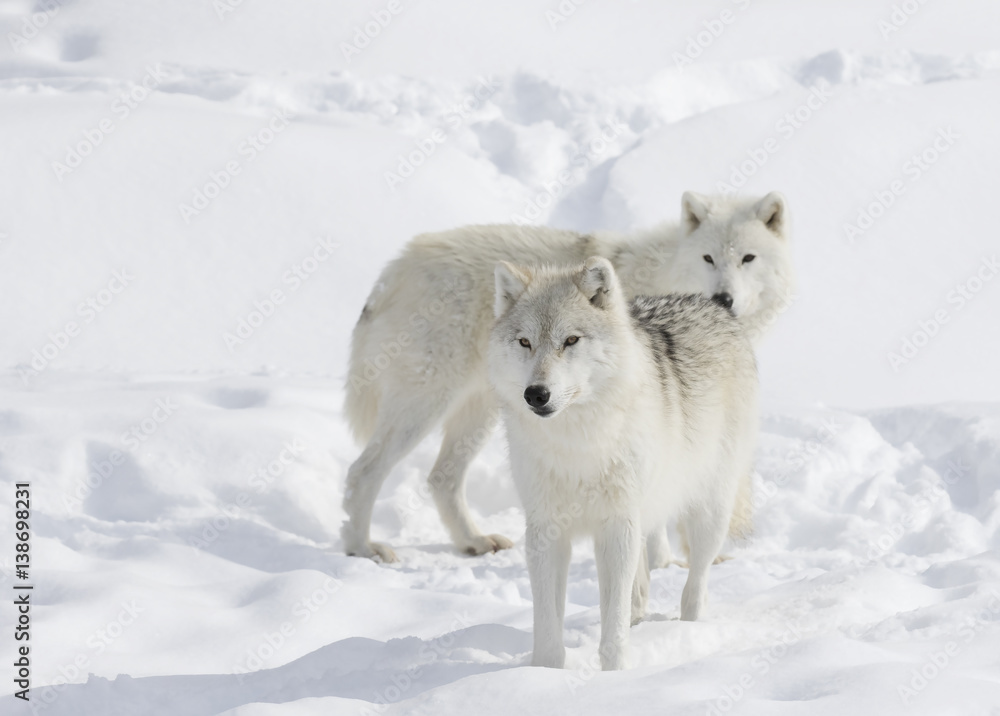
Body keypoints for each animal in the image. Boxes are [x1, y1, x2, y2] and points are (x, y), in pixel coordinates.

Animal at [342, 192, 789, 562]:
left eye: (748, 258)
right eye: (708, 258)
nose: (724, 298)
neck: (667, 272)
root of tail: (395, 266)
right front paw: (662, 564)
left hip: (482, 411)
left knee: (442, 477)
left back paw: (474, 541)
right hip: (425, 405)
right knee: (364, 471)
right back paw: (362, 549)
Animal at [487, 257, 758, 670]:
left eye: (570, 340)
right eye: (524, 342)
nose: (536, 394)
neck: (576, 447)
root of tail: (710, 304)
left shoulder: (617, 524)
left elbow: (612, 619)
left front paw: (614, 672)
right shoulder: (545, 530)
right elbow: (547, 623)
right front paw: (545, 673)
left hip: (708, 513)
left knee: (695, 584)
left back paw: (690, 631)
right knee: (641, 585)